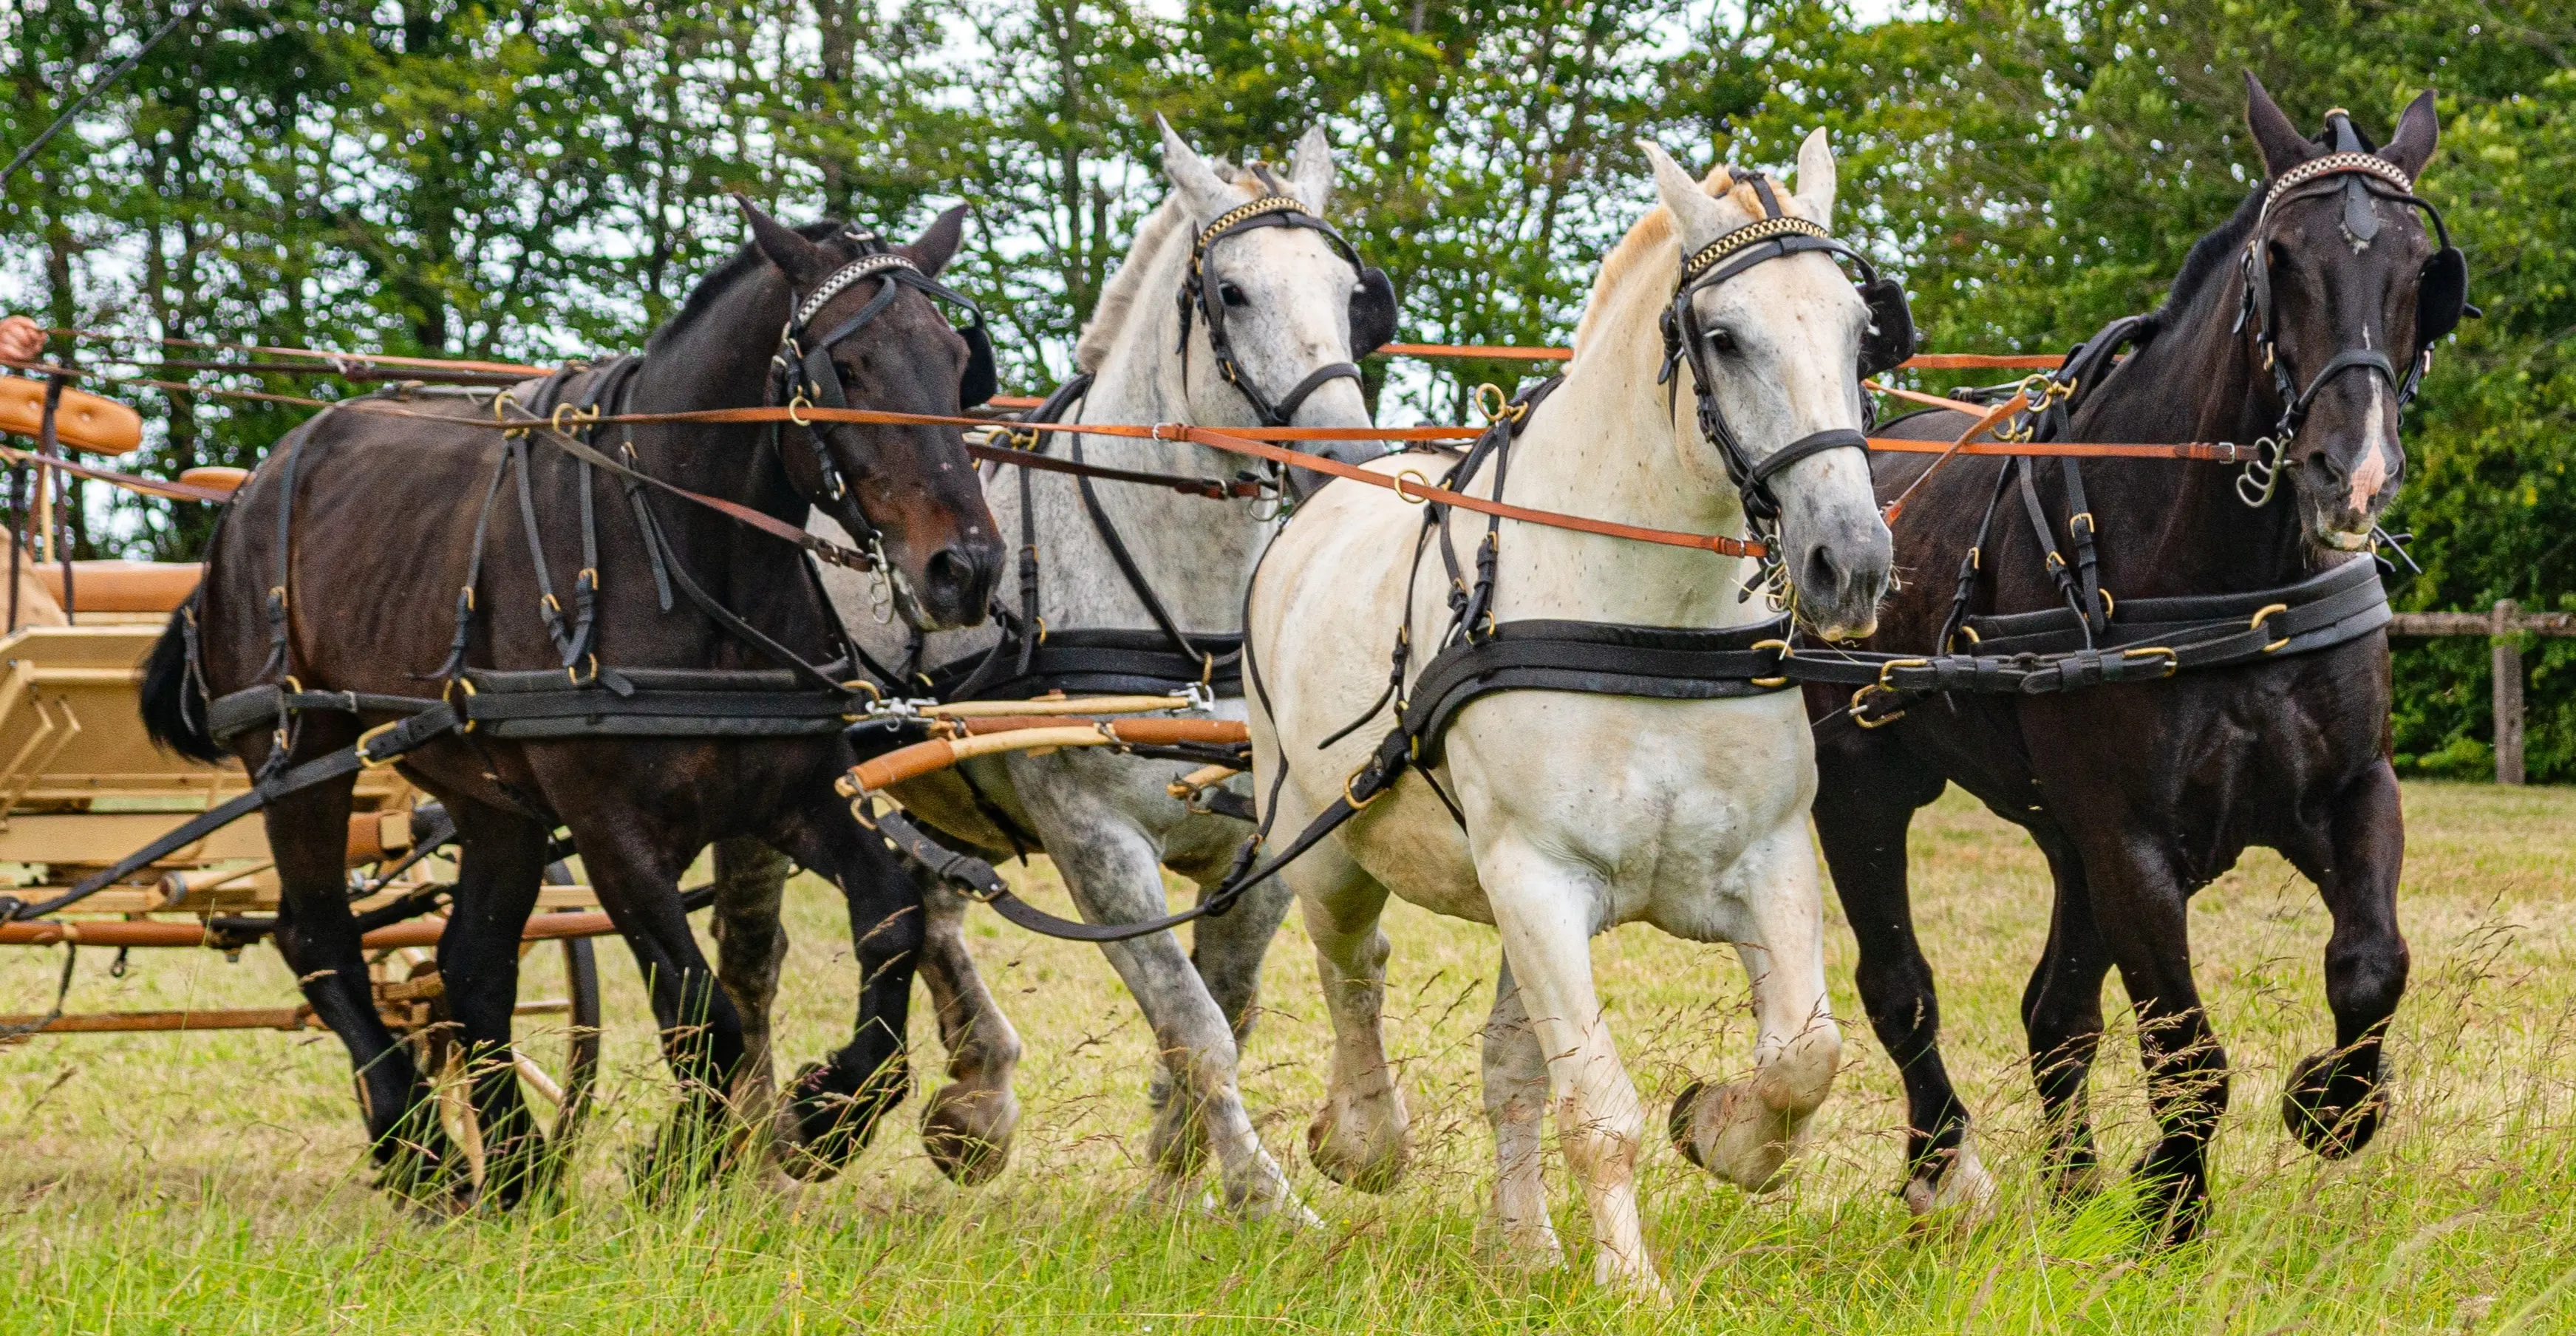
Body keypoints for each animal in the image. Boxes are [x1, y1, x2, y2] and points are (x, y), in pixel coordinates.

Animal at [138, 202, 1005, 1208]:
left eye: (955, 359)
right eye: (849, 368)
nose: (967, 568)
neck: (680, 552)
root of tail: (249, 491)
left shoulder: (793, 794)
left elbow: (893, 922)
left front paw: (827, 1111)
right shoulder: (609, 829)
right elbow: (701, 1010)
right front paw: (683, 1156)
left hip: (490, 794)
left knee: (469, 966)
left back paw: (514, 1166)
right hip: (299, 750)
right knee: (318, 935)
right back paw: (419, 1145)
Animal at [712, 120, 1392, 1216]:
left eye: (1347, 292)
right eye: (1233, 292)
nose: (1345, 462)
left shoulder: (1259, 851)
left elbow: (1226, 1007)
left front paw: (1173, 1185)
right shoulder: (1096, 842)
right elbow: (1195, 1024)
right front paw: (1264, 1197)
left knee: (930, 902)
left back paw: (974, 1093)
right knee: (755, 957)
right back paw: (765, 1146)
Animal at [1245, 133, 1897, 1295]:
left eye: (1860, 333)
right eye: (1723, 338)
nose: (1851, 562)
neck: (1644, 624)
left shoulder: (1767, 863)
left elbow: (1804, 1054)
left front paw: (1721, 1130)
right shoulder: (1538, 882)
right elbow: (1598, 1108)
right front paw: (1633, 1282)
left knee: (1506, 1063)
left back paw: (1521, 1241)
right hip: (1326, 853)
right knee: (1353, 974)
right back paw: (1362, 1140)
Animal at [1807, 75, 2453, 1240]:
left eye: (2424, 273)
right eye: (2278, 258)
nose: (2351, 472)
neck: (2225, 575)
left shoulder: (2349, 790)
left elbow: (2370, 967)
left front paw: (2331, 1103)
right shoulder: (2130, 838)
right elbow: (2186, 1049)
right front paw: (2172, 1202)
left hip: (2062, 837)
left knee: (2053, 1014)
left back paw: (2070, 1192)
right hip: (1863, 785)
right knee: (1902, 987)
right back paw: (1939, 1169)